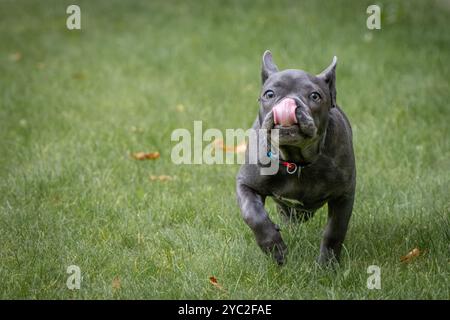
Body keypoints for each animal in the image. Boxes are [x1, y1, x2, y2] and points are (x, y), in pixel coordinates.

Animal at [236, 50, 356, 264]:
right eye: (269, 94)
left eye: (315, 96)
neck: (295, 161)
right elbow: (254, 215)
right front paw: (275, 249)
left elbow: (335, 231)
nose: (289, 103)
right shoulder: (246, 184)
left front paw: (327, 265)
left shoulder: (344, 195)